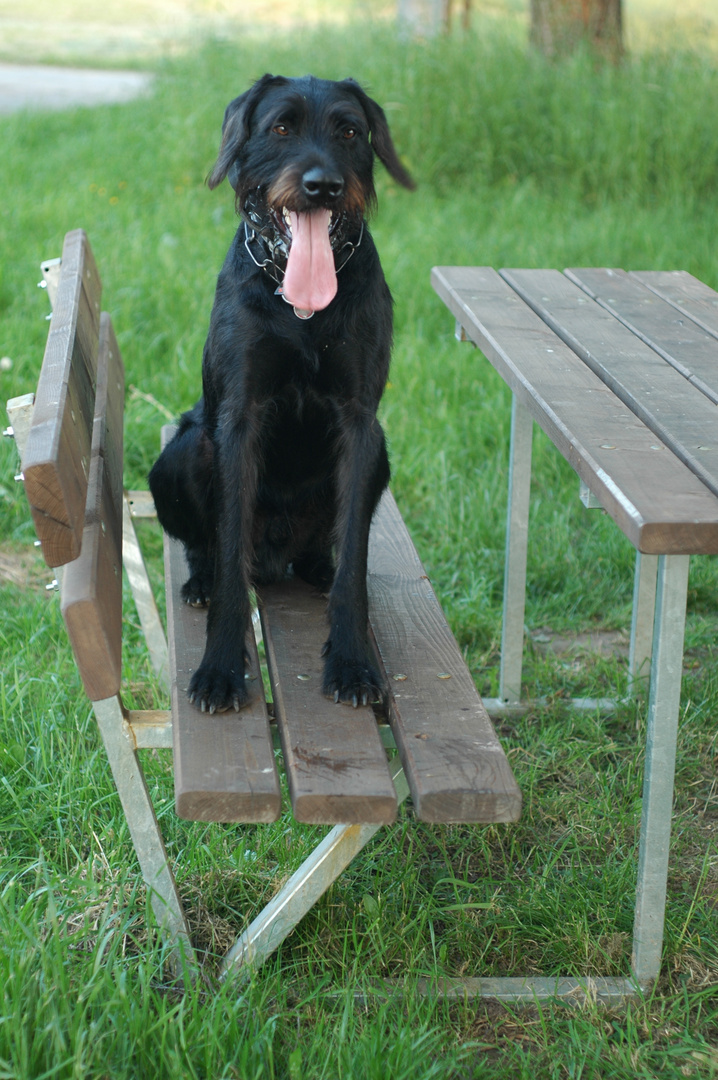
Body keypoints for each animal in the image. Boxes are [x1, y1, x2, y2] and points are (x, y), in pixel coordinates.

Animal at [147, 76, 412, 717]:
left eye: (349, 130)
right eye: (282, 127)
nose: (323, 185)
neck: (303, 307)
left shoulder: (361, 424)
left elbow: (354, 560)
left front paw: (351, 661)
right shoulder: (238, 418)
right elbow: (228, 555)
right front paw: (220, 667)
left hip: (381, 456)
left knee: (330, 546)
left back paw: (316, 566)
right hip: (185, 450)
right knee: (208, 546)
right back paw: (199, 581)